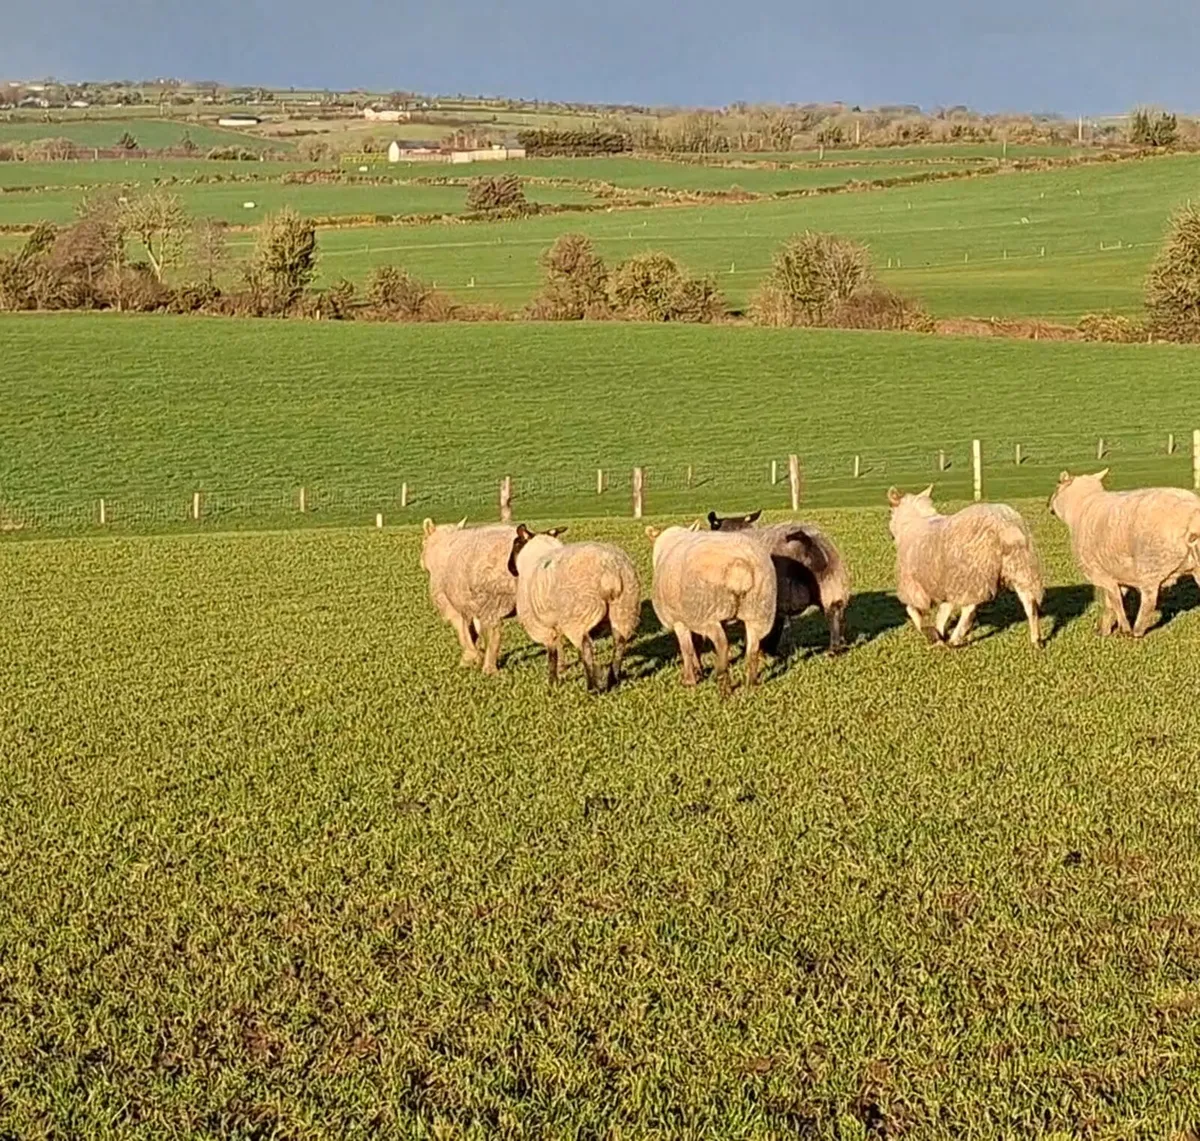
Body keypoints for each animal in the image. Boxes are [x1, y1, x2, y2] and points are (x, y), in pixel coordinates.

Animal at [420, 517, 518, 674]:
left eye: (423, 542)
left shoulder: (450, 604)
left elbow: (463, 630)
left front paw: (470, 658)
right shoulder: (470, 606)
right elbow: (473, 631)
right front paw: (476, 655)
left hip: (492, 597)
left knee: (494, 633)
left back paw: (489, 670)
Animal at [508, 524, 641, 692]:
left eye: (516, 543)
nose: (510, 568)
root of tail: (610, 572)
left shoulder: (542, 627)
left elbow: (552, 654)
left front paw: (552, 682)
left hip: (578, 615)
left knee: (586, 647)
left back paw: (592, 688)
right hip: (625, 607)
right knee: (620, 643)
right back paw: (613, 681)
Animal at [646, 522, 776, 693]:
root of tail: (739, 568)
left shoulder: (680, 620)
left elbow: (686, 649)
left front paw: (689, 680)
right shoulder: (693, 617)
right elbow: (696, 644)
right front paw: (698, 669)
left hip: (707, 614)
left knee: (722, 644)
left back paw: (722, 681)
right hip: (759, 611)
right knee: (753, 648)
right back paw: (751, 683)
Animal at [887, 486, 1044, 647]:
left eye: (890, 510)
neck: (912, 522)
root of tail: (1003, 525)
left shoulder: (913, 586)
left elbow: (912, 610)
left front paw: (929, 632)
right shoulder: (946, 583)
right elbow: (943, 612)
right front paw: (939, 634)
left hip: (973, 574)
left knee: (969, 608)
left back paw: (955, 638)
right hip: (1020, 567)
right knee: (1030, 603)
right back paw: (1036, 639)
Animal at [1049, 469, 1200, 637]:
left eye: (1058, 483)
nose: (1049, 506)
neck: (1081, 506)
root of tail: (1192, 517)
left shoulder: (1100, 573)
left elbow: (1115, 601)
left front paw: (1122, 629)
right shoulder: (1120, 573)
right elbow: (1111, 603)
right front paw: (1105, 630)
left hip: (1150, 566)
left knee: (1149, 601)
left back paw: (1136, 631)